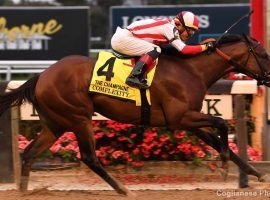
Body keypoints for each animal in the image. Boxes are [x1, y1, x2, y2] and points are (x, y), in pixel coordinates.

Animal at [0, 34, 270, 195]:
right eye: (264, 55)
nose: (268, 78)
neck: (192, 71)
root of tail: (41, 76)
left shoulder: (189, 120)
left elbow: (218, 140)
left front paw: (257, 173)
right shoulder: (179, 118)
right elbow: (222, 124)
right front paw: (224, 167)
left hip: (55, 123)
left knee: (29, 153)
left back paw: (24, 191)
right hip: (78, 118)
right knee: (89, 157)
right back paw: (123, 189)